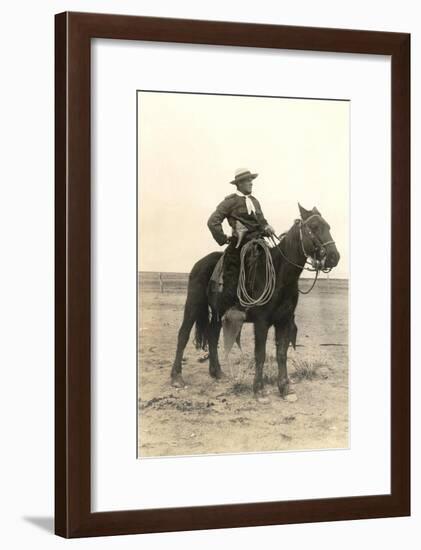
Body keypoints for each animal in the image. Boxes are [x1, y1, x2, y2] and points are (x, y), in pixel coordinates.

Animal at [169, 205, 340, 404]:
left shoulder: (284, 321)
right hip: (193, 304)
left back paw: (217, 372)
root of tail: (200, 263)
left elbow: (282, 354)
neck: (280, 275)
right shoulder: (261, 322)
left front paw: (285, 389)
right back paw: (176, 377)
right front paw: (259, 390)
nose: (334, 257)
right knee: (183, 335)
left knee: (212, 336)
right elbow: (261, 354)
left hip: (219, 313)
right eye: (313, 227)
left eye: (328, 226)